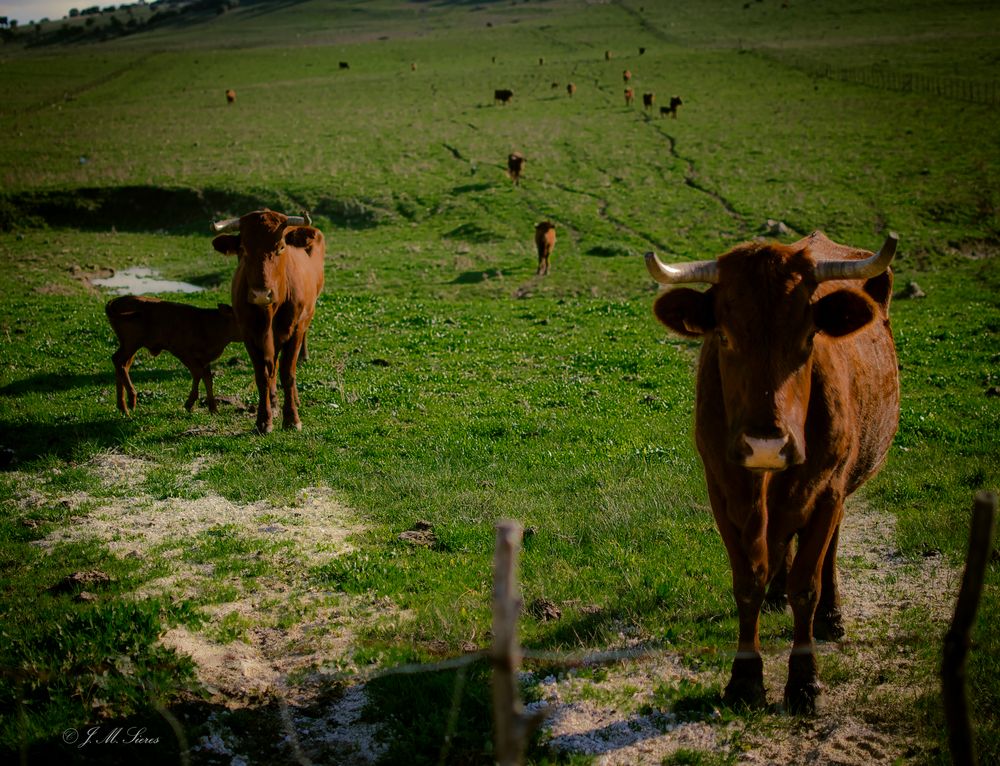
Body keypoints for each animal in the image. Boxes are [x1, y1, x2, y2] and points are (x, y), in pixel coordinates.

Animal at [104, 296, 242, 416]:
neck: (208, 325)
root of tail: (116, 300)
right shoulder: (182, 351)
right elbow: (198, 373)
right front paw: (189, 403)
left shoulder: (205, 359)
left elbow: (208, 378)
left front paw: (213, 409)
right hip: (132, 343)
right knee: (118, 361)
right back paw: (131, 400)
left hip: (130, 345)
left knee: (123, 366)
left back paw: (123, 407)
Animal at [213, 210, 326, 436]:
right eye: (243, 249)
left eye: (280, 247)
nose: (260, 294)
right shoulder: (250, 334)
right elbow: (263, 375)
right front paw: (264, 419)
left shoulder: (295, 330)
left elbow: (288, 373)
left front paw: (292, 419)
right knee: (272, 366)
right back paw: (273, 404)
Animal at [644, 231, 904, 716]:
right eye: (724, 337)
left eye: (808, 337)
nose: (765, 443)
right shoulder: (723, 489)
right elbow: (748, 581)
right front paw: (744, 680)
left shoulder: (827, 488)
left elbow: (809, 584)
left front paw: (804, 682)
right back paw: (777, 591)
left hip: (838, 485)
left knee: (826, 547)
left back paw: (831, 617)